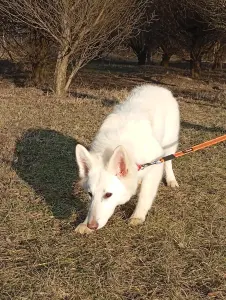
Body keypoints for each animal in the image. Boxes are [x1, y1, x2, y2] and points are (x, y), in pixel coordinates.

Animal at [75, 85, 179, 234]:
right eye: (90, 194)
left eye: (108, 195)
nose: (91, 226)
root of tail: (157, 87)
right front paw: (84, 224)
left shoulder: (155, 166)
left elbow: (145, 195)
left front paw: (137, 216)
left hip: (170, 145)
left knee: (169, 162)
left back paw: (171, 180)